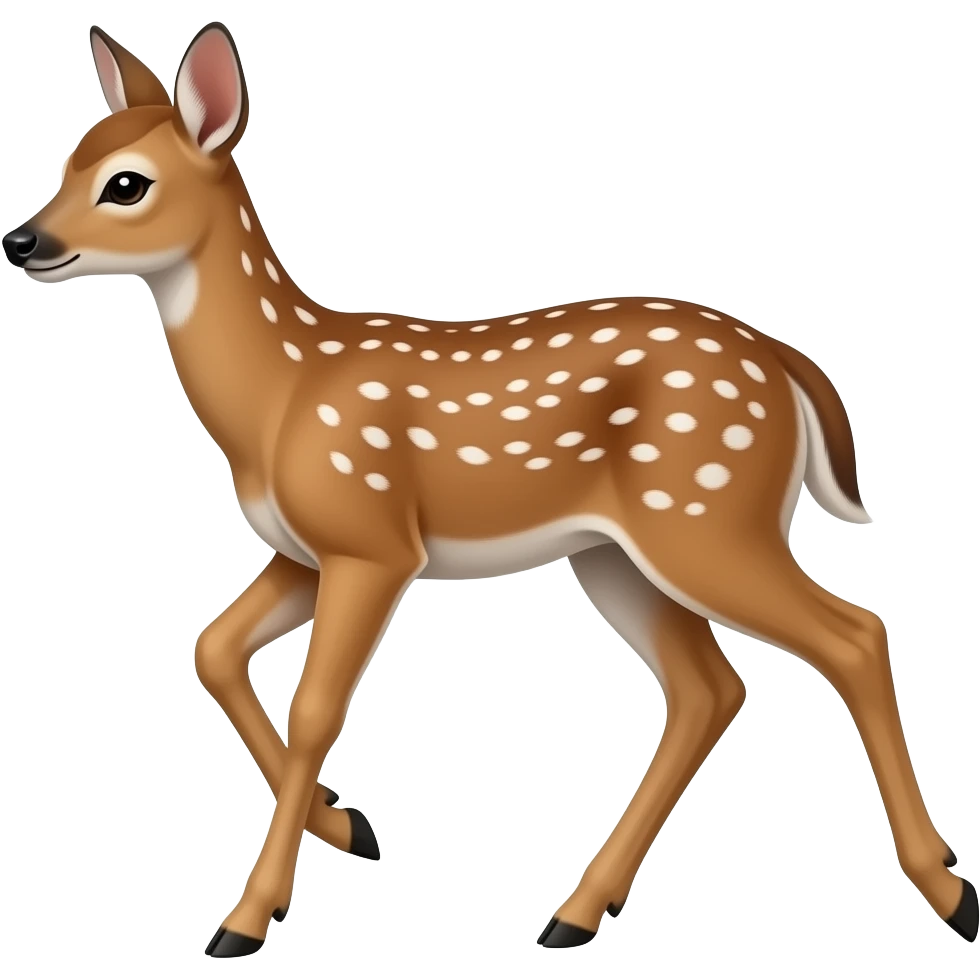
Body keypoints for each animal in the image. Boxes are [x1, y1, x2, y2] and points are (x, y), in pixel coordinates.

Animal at [2, 20, 975, 958]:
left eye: (126, 184)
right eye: (67, 163)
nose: (24, 240)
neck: (283, 396)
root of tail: (785, 363)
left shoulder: (372, 538)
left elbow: (315, 708)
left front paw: (246, 920)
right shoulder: (304, 551)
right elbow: (214, 651)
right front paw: (351, 827)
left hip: (707, 513)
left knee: (854, 634)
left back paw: (950, 890)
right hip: (621, 552)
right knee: (709, 689)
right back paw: (576, 913)